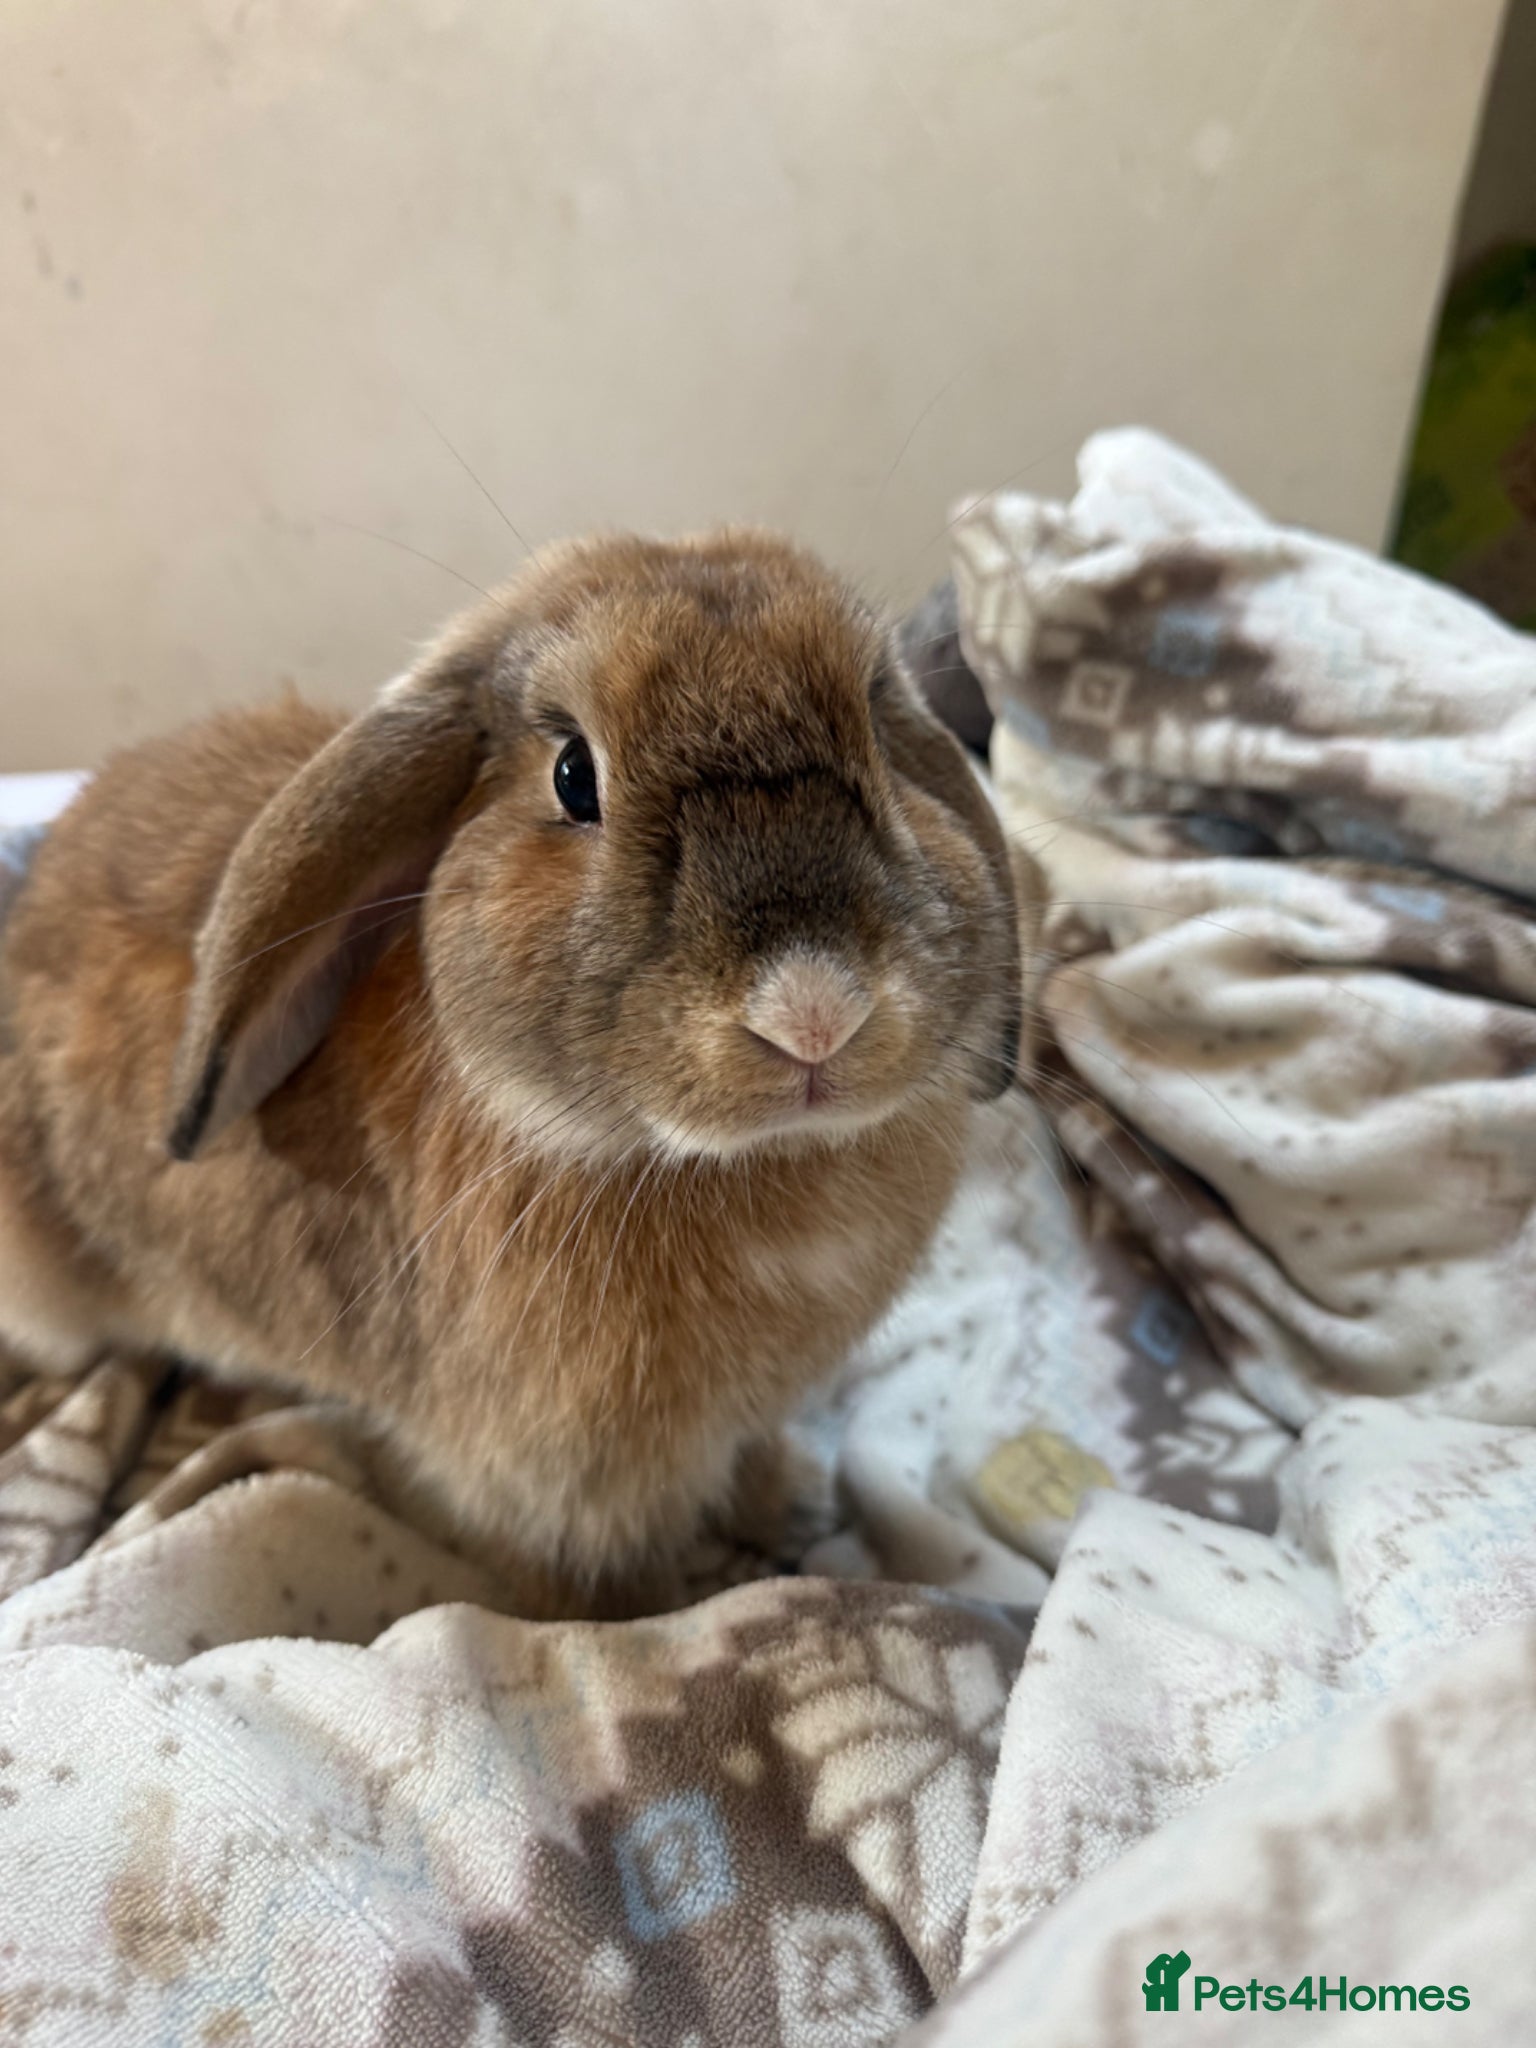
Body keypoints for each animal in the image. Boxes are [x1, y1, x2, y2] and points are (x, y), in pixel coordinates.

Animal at [0, 529, 1025, 1617]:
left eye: (877, 727)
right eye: (574, 776)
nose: (814, 1012)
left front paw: (788, 1501)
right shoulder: (552, 1483)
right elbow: (592, 1589)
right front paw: (665, 1610)